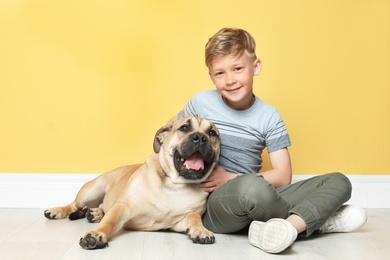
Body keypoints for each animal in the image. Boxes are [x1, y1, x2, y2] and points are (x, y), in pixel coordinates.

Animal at [44, 117, 221, 249]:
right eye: (184, 128)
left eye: (212, 133)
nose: (200, 138)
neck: (175, 184)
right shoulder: (124, 207)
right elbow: (110, 221)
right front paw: (96, 234)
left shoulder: (179, 221)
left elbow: (193, 216)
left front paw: (201, 230)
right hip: (92, 191)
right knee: (75, 204)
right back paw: (57, 210)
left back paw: (95, 213)